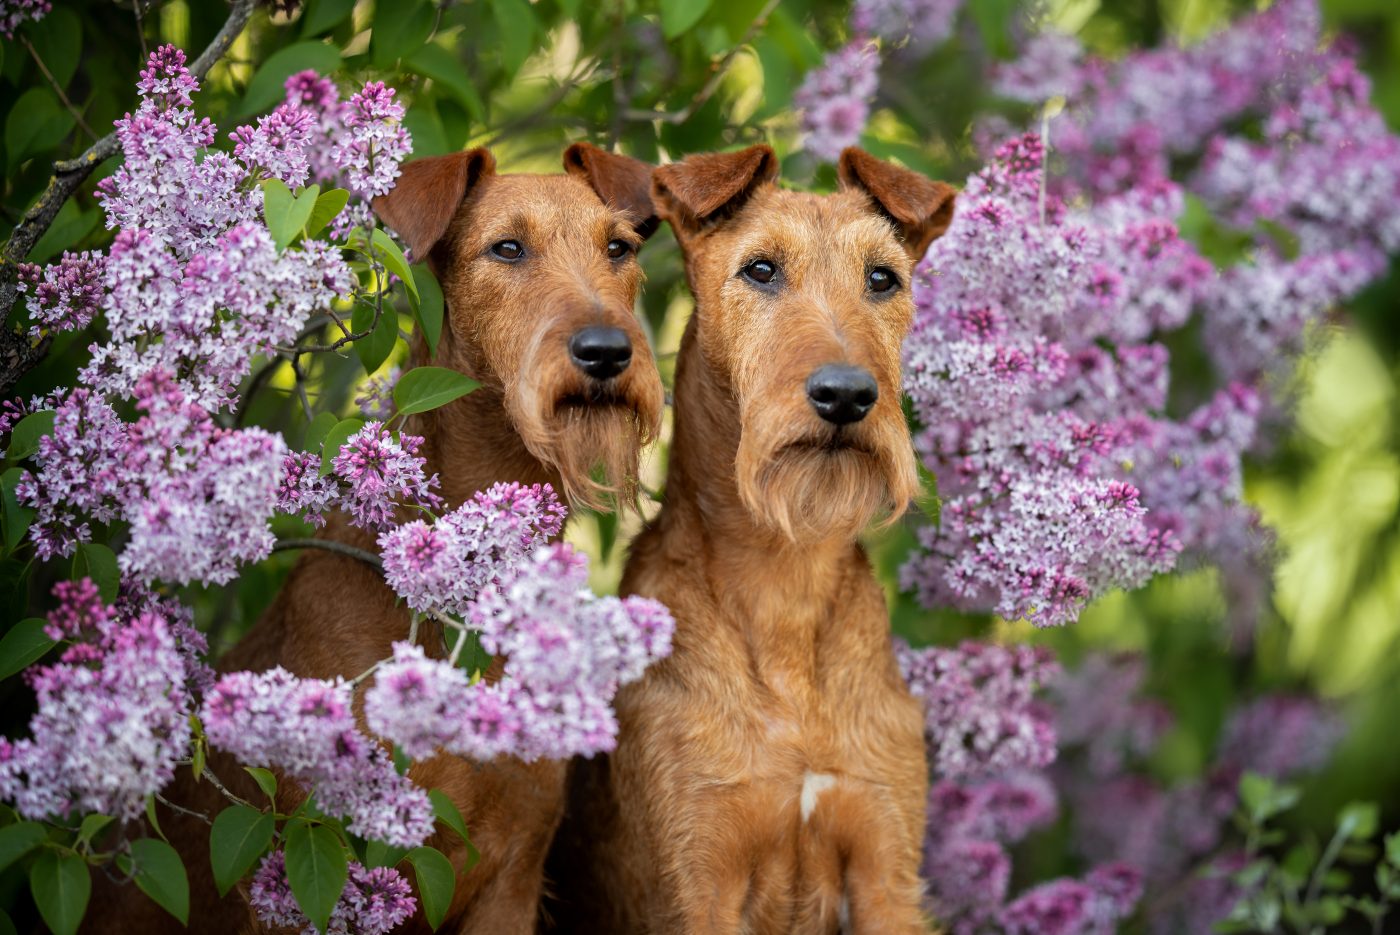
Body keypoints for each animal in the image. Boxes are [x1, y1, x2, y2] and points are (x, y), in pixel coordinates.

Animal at [551, 146, 957, 935]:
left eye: (883, 277)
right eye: (761, 269)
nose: (845, 395)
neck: (783, 578)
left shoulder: (886, 869)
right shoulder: (698, 873)